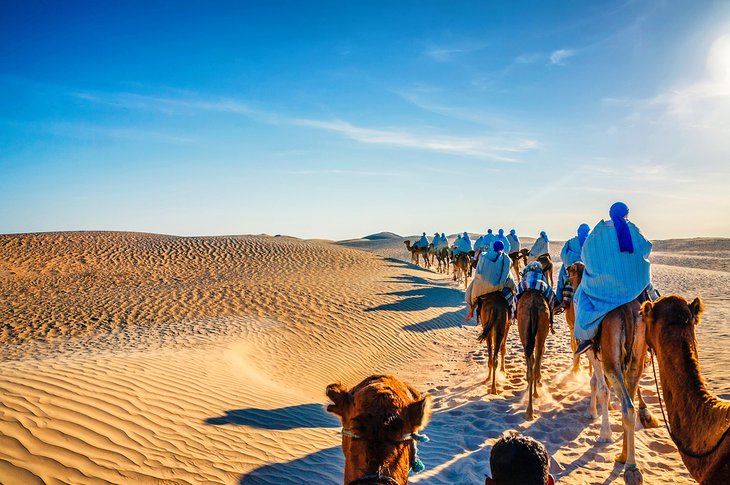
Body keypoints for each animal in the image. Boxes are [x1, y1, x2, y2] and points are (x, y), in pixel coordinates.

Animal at [568, 266, 660, 482]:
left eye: (570, 273)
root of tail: (627, 312)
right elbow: (598, 384)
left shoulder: (594, 353)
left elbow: (599, 387)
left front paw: (603, 431)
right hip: (634, 361)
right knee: (631, 405)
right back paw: (625, 457)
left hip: (612, 361)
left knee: (627, 405)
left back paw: (631, 467)